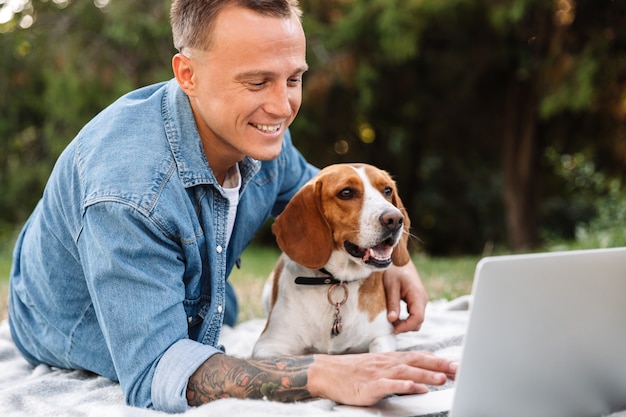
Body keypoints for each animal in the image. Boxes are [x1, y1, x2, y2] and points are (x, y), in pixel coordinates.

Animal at [251, 162, 412, 358]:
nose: (395, 219)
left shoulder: (382, 336)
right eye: (346, 192)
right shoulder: (268, 346)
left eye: (387, 190)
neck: (338, 281)